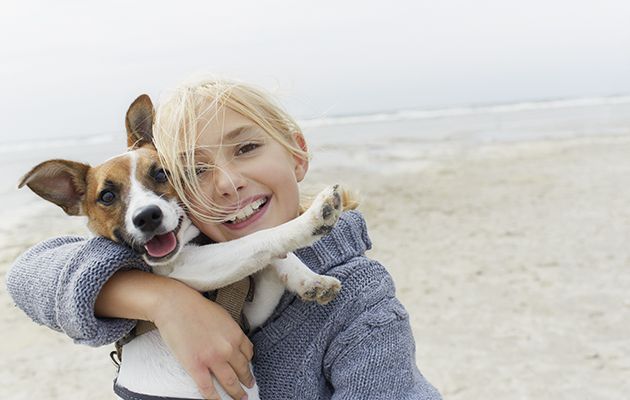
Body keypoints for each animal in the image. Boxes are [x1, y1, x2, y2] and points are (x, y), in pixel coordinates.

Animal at [18, 94, 346, 400]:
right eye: (107, 196)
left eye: (160, 174)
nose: (147, 216)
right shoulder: (186, 267)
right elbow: (258, 239)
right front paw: (312, 219)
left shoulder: (249, 315)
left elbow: (271, 256)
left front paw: (309, 280)